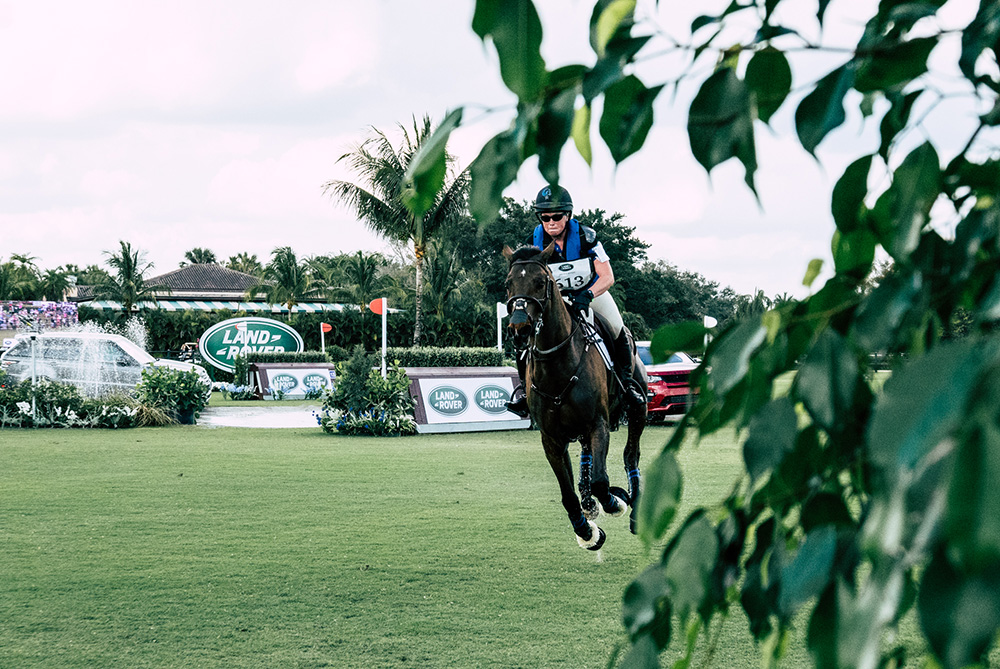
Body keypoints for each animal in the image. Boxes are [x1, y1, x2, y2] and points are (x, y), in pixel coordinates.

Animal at [504, 243, 644, 552]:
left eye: (540, 282)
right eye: (508, 283)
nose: (519, 328)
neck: (557, 363)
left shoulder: (598, 424)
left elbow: (602, 482)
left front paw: (615, 502)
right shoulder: (552, 439)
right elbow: (568, 493)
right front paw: (587, 532)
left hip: (638, 410)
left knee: (631, 455)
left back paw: (634, 508)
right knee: (587, 459)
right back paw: (589, 503)